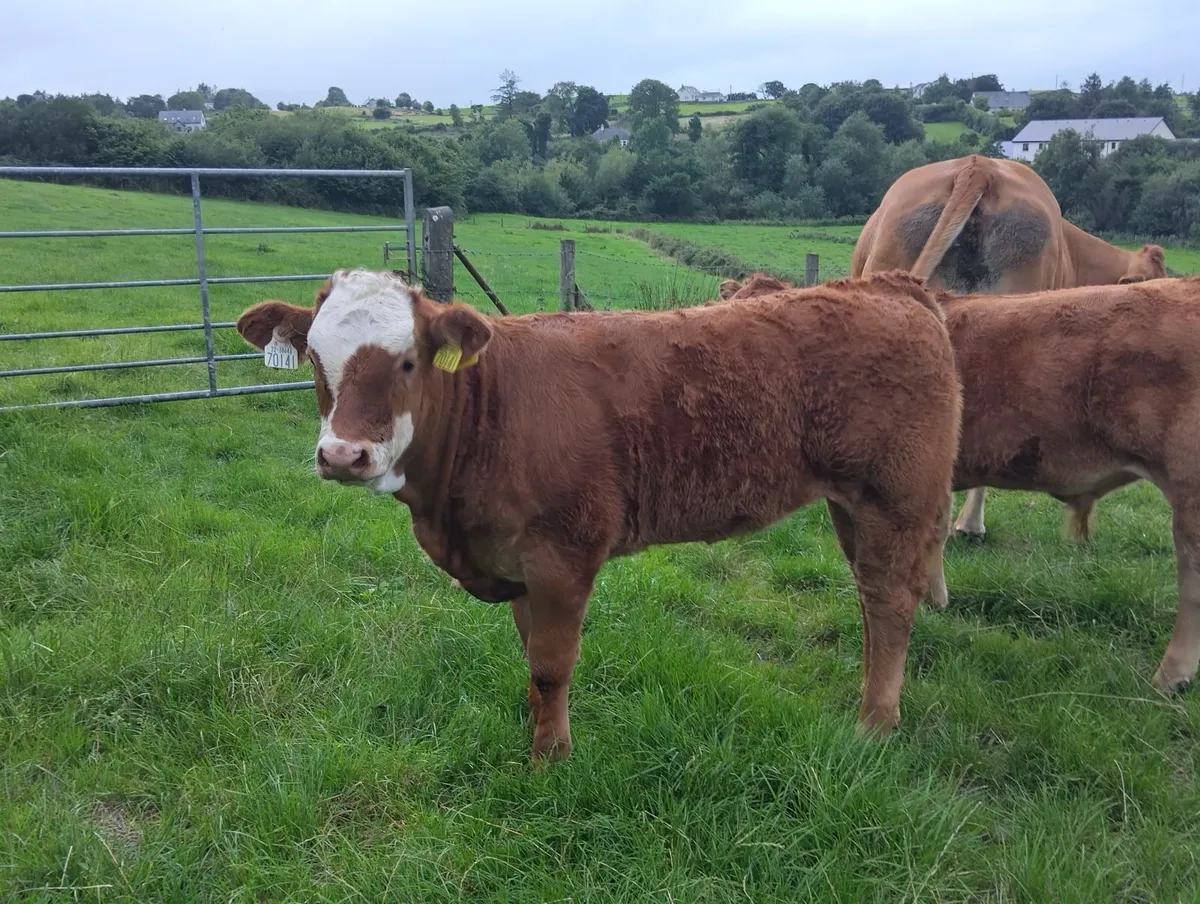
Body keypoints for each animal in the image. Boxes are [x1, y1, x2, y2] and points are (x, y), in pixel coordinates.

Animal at [235, 268, 962, 763]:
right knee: (870, 599)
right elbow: (531, 659)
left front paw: (551, 760)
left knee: (891, 602)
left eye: (408, 361)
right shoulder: (517, 564)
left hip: (896, 498)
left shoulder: (563, 555)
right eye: (314, 359)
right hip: (852, 506)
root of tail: (890, 287)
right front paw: (539, 731)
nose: (343, 454)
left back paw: (874, 723)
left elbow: (551, 664)